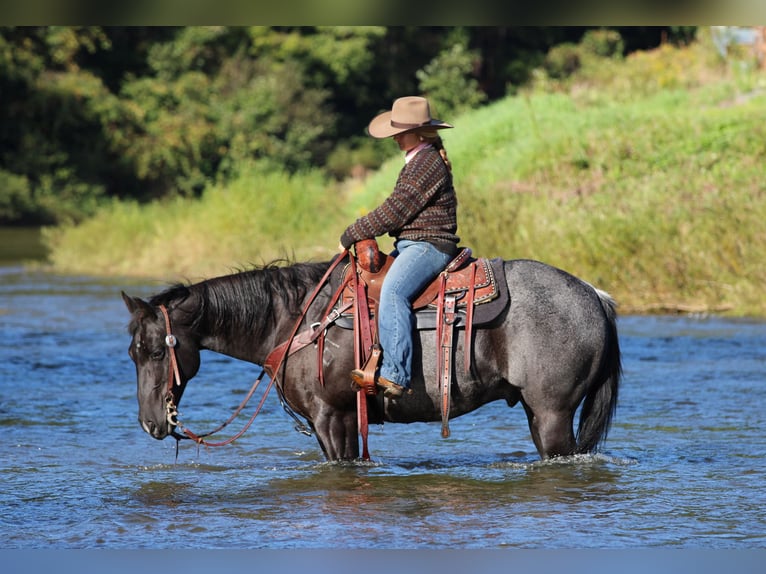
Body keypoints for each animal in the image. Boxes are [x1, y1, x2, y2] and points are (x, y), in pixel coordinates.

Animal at [121, 254, 621, 462]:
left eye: (155, 350)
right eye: (132, 353)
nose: (150, 424)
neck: (298, 321)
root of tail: (592, 295)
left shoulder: (334, 418)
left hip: (552, 414)